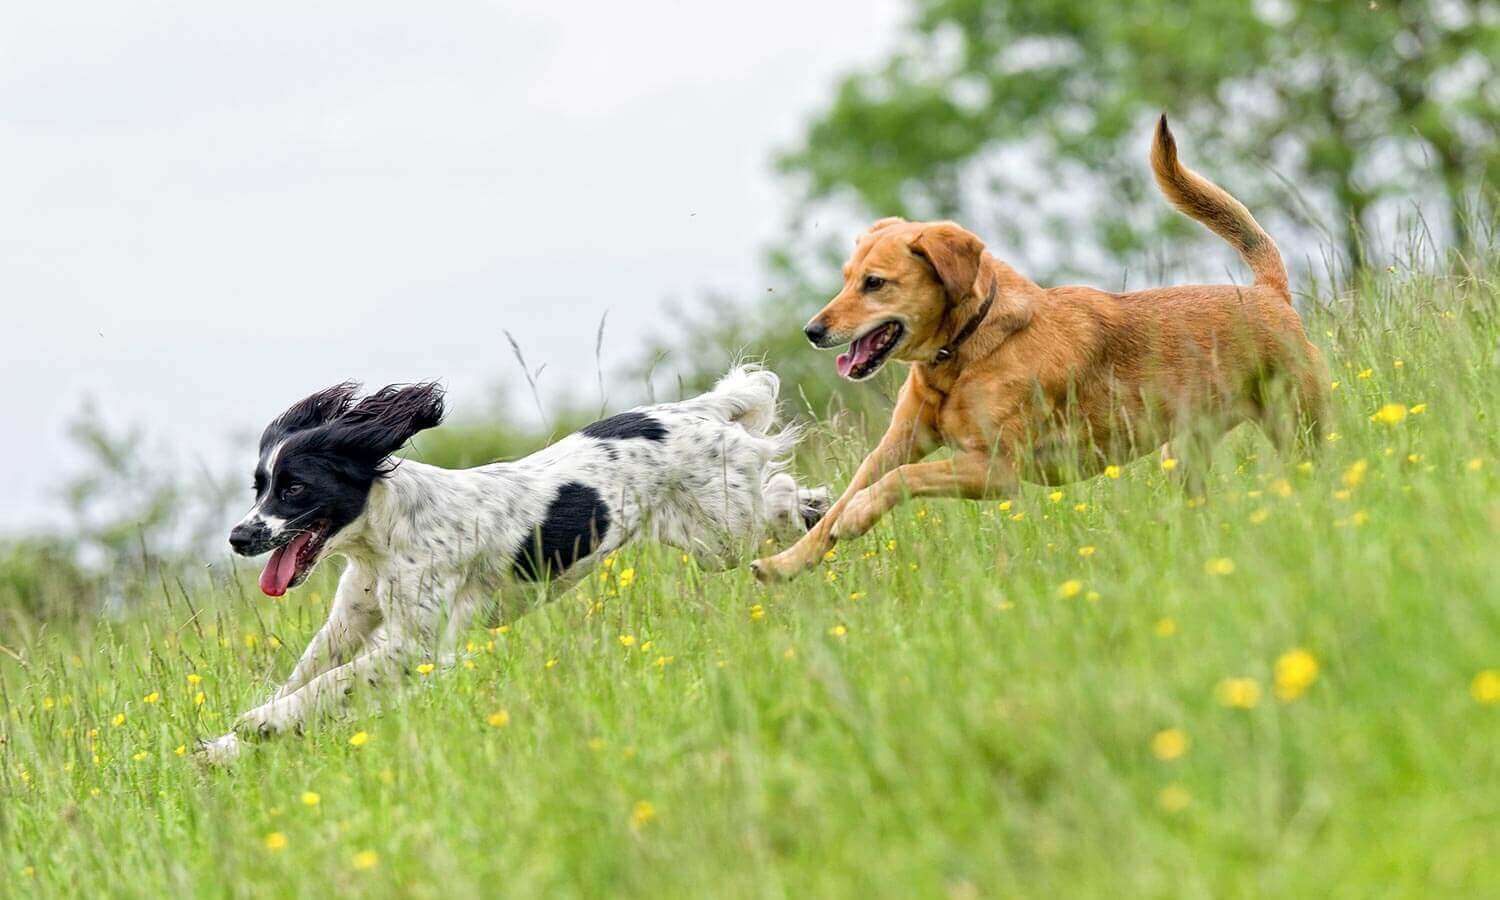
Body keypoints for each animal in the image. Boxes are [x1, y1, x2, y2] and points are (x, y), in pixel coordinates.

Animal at [196, 364, 834, 759]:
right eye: (259, 486)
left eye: (295, 488)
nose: (238, 537)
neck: (381, 539)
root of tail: (700, 409)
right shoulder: (352, 620)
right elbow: (309, 672)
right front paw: (225, 748)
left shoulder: (415, 644)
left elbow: (331, 683)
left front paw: (261, 726)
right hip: (707, 540)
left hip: (723, 531)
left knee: (778, 494)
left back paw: (817, 516)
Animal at [750, 116, 1326, 579]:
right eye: (845, 278)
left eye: (875, 283)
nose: (812, 330)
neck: (964, 351)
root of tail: (1268, 292)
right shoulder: (898, 442)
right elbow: (849, 494)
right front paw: (785, 563)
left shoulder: (996, 470)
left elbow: (898, 481)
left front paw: (855, 517)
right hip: (1183, 453)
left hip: (1298, 424)